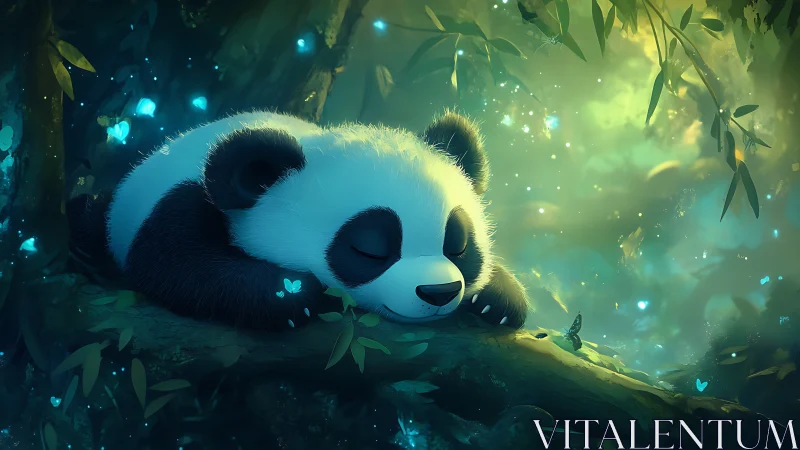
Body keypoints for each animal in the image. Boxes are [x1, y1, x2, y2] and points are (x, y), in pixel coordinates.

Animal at [69, 111, 530, 331]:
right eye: (369, 250)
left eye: (458, 245)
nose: (439, 292)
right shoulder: (177, 201)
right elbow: (175, 262)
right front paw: (291, 296)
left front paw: (499, 298)